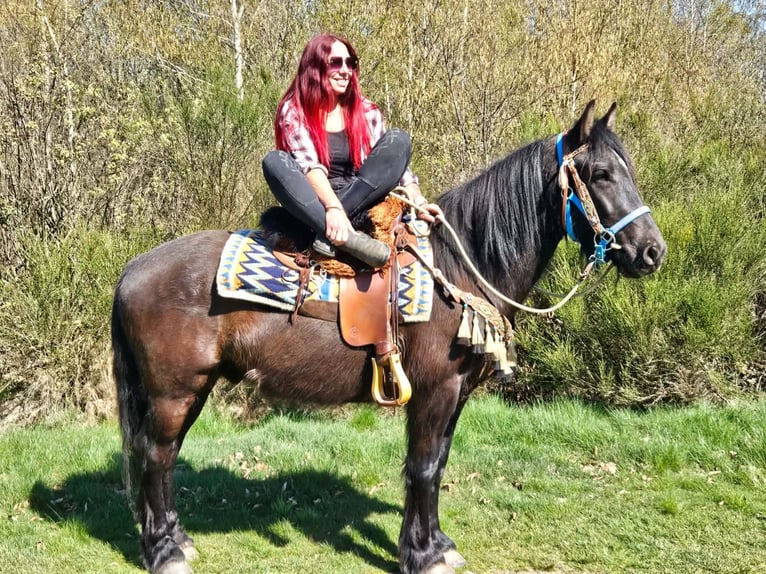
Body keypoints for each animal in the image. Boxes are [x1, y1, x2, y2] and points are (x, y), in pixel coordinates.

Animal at [112, 101, 666, 574]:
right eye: (600, 174)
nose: (652, 252)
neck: (458, 270)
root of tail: (133, 269)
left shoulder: (457, 392)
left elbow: (437, 465)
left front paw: (437, 544)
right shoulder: (435, 390)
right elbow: (422, 468)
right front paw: (421, 555)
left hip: (188, 391)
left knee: (162, 457)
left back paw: (176, 540)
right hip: (173, 391)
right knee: (155, 456)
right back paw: (164, 552)